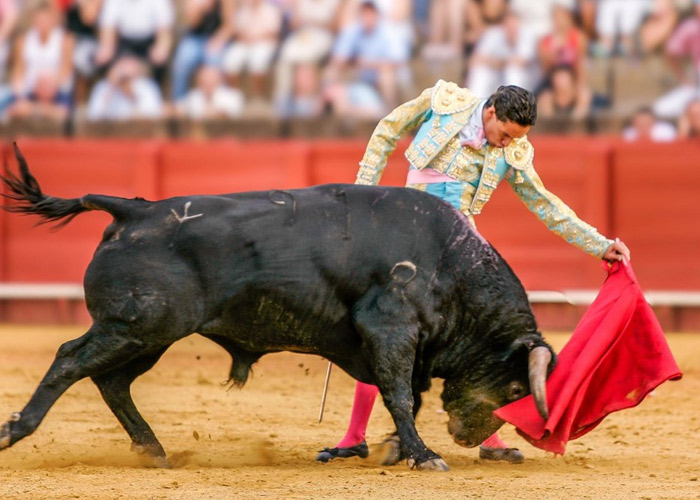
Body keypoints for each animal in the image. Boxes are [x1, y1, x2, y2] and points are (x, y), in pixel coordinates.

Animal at [1, 146, 556, 472]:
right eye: (514, 389)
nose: (467, 437)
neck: (452, 264)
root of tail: (134, 210)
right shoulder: (390, 329)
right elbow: (400, 396)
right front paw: (422, 456)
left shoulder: (397, 343)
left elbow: (407, 397)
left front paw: (397, 449)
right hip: (136, 325)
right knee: (70, 359)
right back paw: (15, 431)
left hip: (150, 334)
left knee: (111, 381)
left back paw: (153, 450)